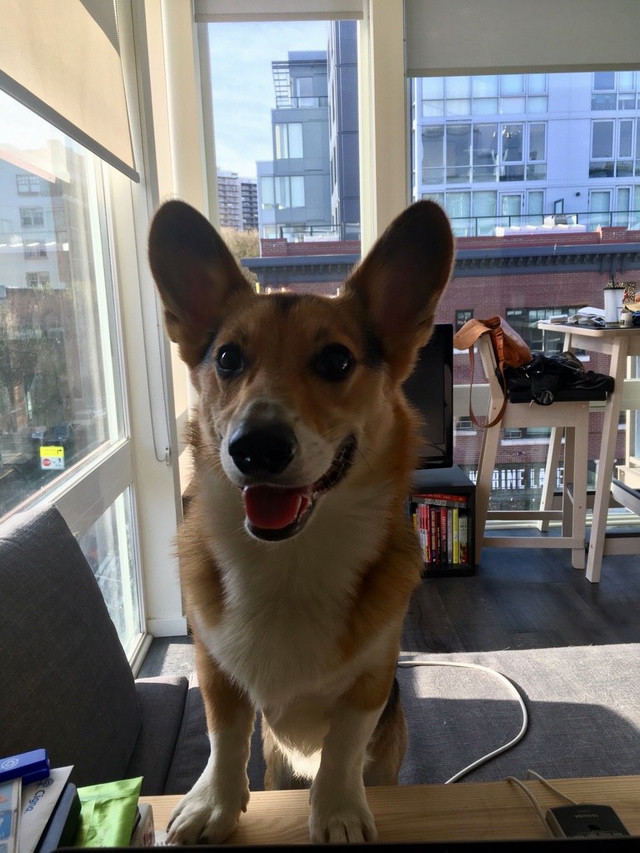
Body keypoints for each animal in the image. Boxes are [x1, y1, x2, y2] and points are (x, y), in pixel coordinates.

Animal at [148, 200, 452, 844]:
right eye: (228, 358)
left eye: (336, 360)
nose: (256, 448)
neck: (287, 558)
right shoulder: (215, 671)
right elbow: (223, 738)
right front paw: (213, 804)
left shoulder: (370, 682)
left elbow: (341, 748)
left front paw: (337, 812)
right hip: (277, 767)